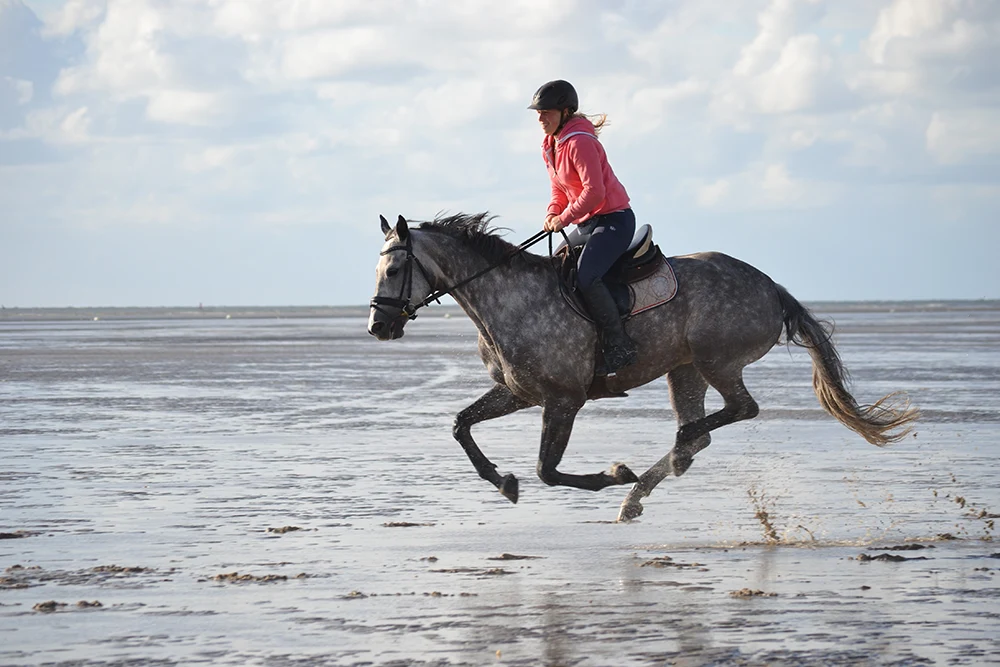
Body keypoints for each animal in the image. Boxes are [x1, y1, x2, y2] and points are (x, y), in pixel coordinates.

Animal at [368, 214, 920, 520]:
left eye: (393, 269)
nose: (378, 326)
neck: (507, 299)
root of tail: (770, 286)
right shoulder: (519, 394)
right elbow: (461, 425)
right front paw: (502, 481)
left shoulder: (563, 399)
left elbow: (548, 470)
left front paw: (612, 473)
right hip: (686, 370)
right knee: (703, 430)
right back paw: (644, 489)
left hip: (717, 361)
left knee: (738, 411)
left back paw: (658, 467)